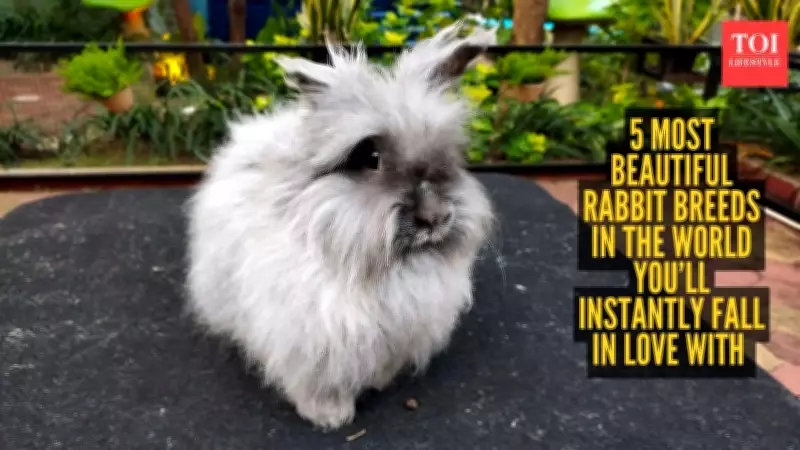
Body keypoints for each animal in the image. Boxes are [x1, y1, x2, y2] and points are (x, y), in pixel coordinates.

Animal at [185, 22, 497, 430]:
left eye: (451, 155)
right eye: (370, 157)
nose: (435, 218)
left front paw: (378, 383)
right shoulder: (312, 339)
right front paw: (331, 417)